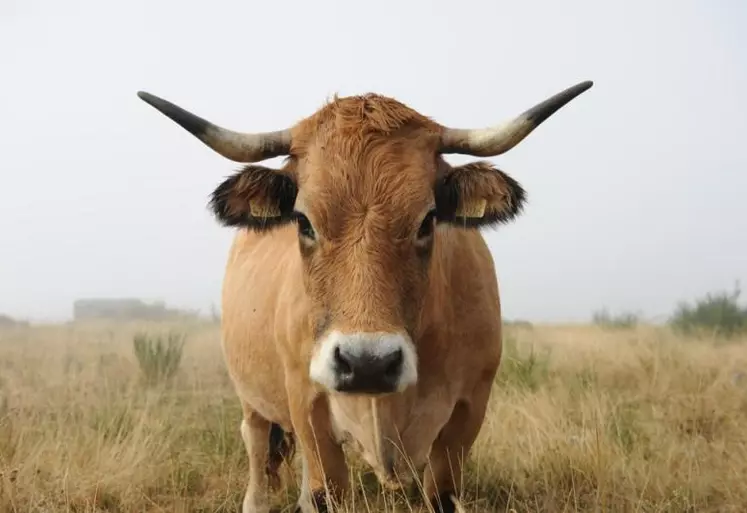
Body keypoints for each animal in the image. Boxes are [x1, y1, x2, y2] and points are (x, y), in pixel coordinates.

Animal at [137, 81, 592, 512]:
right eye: (303, 221)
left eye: (427, 220)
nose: (367, 363)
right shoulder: (308, 406)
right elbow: (324, 489)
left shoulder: (466, 416)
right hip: (253, 398)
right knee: (255, 444)